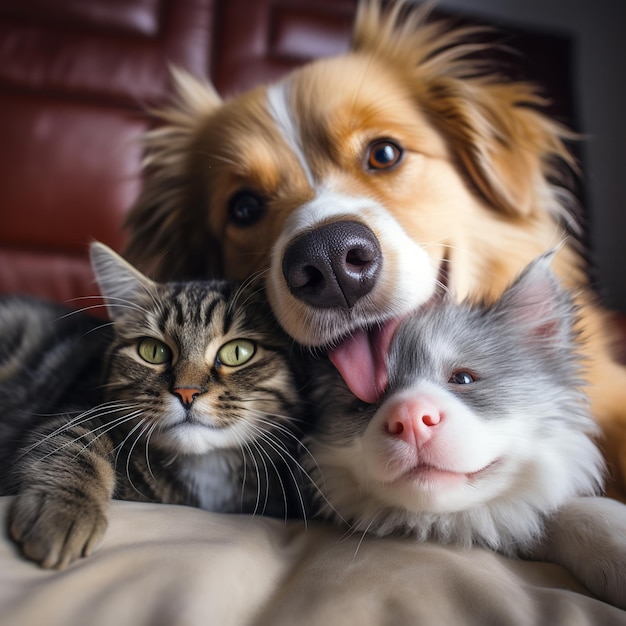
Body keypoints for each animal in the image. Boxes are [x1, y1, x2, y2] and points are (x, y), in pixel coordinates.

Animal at [0, 241, 306, 568]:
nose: (186, 392)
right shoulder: (80, 407)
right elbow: (72, 441)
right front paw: (65, 511)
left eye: (238, 352)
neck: (207, 469)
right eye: (153, 351)